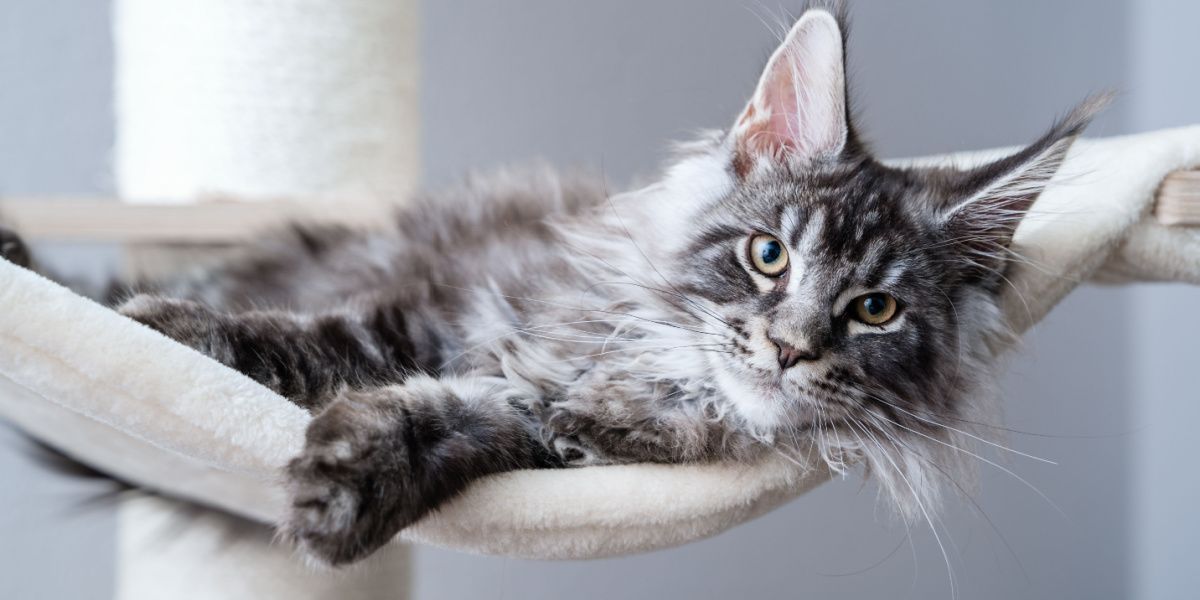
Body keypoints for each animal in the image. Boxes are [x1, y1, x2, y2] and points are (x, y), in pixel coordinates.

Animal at [0, 4, 1099, 566]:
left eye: (874, 310)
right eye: (767, 257)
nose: (789, 348)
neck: (662, 374)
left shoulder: (543, 432)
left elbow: (443, 423)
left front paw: (347, 489)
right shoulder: (447, 306)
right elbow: (311, 342)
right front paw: (167, 332)